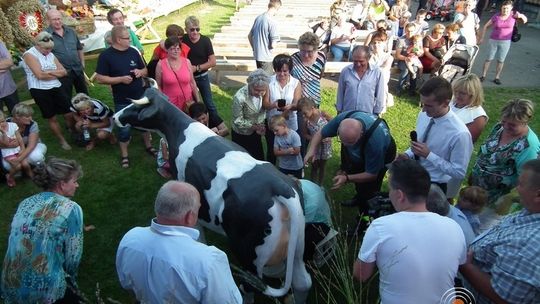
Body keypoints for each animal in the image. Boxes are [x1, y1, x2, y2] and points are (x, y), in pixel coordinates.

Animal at [114, 86, 312, 300]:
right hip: (298, 246)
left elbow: (197, 233)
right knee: (302, 282)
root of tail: (280, 186)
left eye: (135, 106)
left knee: (249, 286)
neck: (181, 130)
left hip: (248, 254)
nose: (115, 117)